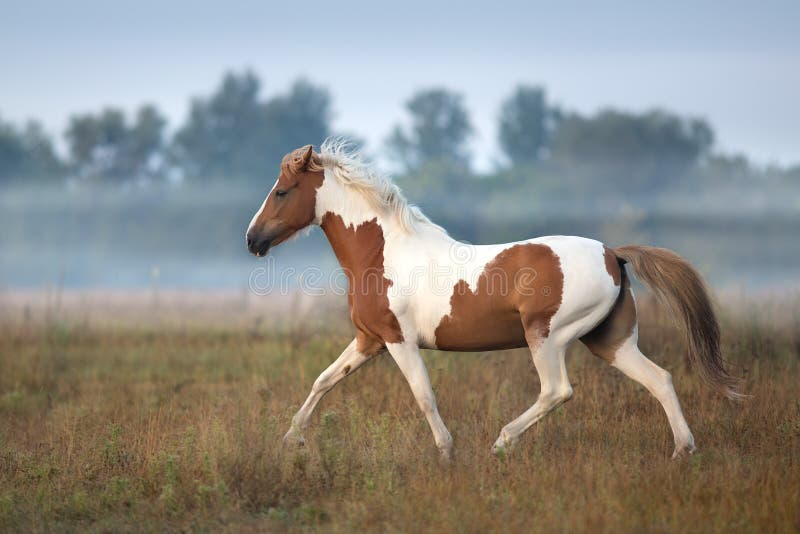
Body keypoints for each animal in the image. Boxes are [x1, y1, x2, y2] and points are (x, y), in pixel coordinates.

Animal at [247, 140, 740, 462]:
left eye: (282, 191)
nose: (253, 240)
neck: (383, 251)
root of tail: (613, 254)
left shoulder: (398, 340)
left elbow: (424, 395)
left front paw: (447, 454)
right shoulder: (370, 339)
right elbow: (323, 381)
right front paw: (290, 440)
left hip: (547, 336)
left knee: (557, 391)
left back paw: (501, 443)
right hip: (610, 340)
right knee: (661, 379)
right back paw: (683, 451)